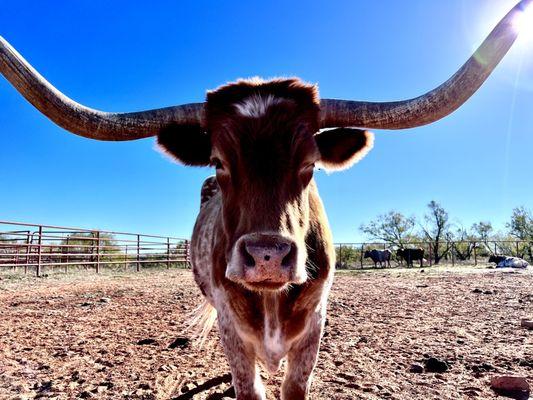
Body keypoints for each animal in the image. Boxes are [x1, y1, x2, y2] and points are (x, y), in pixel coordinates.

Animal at [0, 2, 528, 396]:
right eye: (219, 161)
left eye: (310, 163)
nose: (267, 256)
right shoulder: (232, 329)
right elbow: (247, 384)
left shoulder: (314, 328)